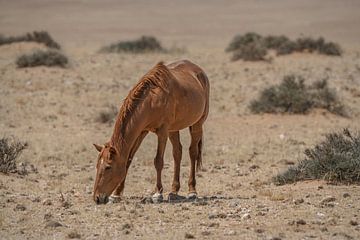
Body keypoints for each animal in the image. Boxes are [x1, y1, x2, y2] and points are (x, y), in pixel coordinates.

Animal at [93, 59, 208, 203]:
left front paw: (157, 193)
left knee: (193, 152)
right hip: (173, 129)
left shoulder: (162, 132)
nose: (97, 198)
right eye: (97, 165)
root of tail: (199, 71)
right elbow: (128, 160)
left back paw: (192, 191)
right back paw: (174, 191)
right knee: (177, 153)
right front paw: (117, 194)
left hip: (197, 124)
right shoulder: (142, 131)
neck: (152, 99)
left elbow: (158, 161)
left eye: (108, 167)